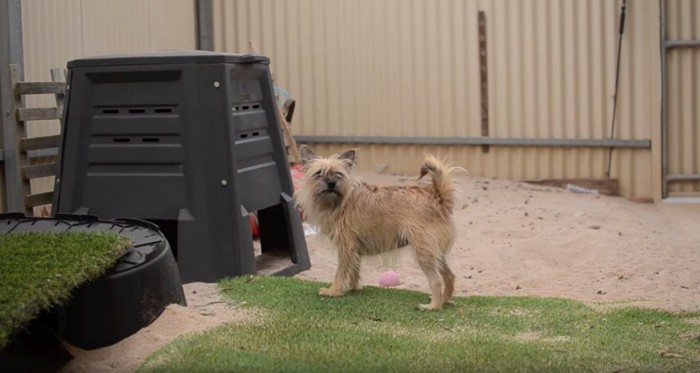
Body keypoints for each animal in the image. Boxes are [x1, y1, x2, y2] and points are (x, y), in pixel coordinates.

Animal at [294, 145, 462, 310]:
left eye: (338, 174)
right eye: (319, 173)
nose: (331, 183)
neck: (340, 201)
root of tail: (437, 198)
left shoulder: (346, 248)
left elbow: (341, 272)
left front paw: (334, 291)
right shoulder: (354, 250)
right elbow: (353, 270)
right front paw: (352, 288)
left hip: (424, 253)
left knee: (436, 281)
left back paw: (433, 306)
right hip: (436, 253)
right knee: (449, 276)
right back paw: (445, 300)